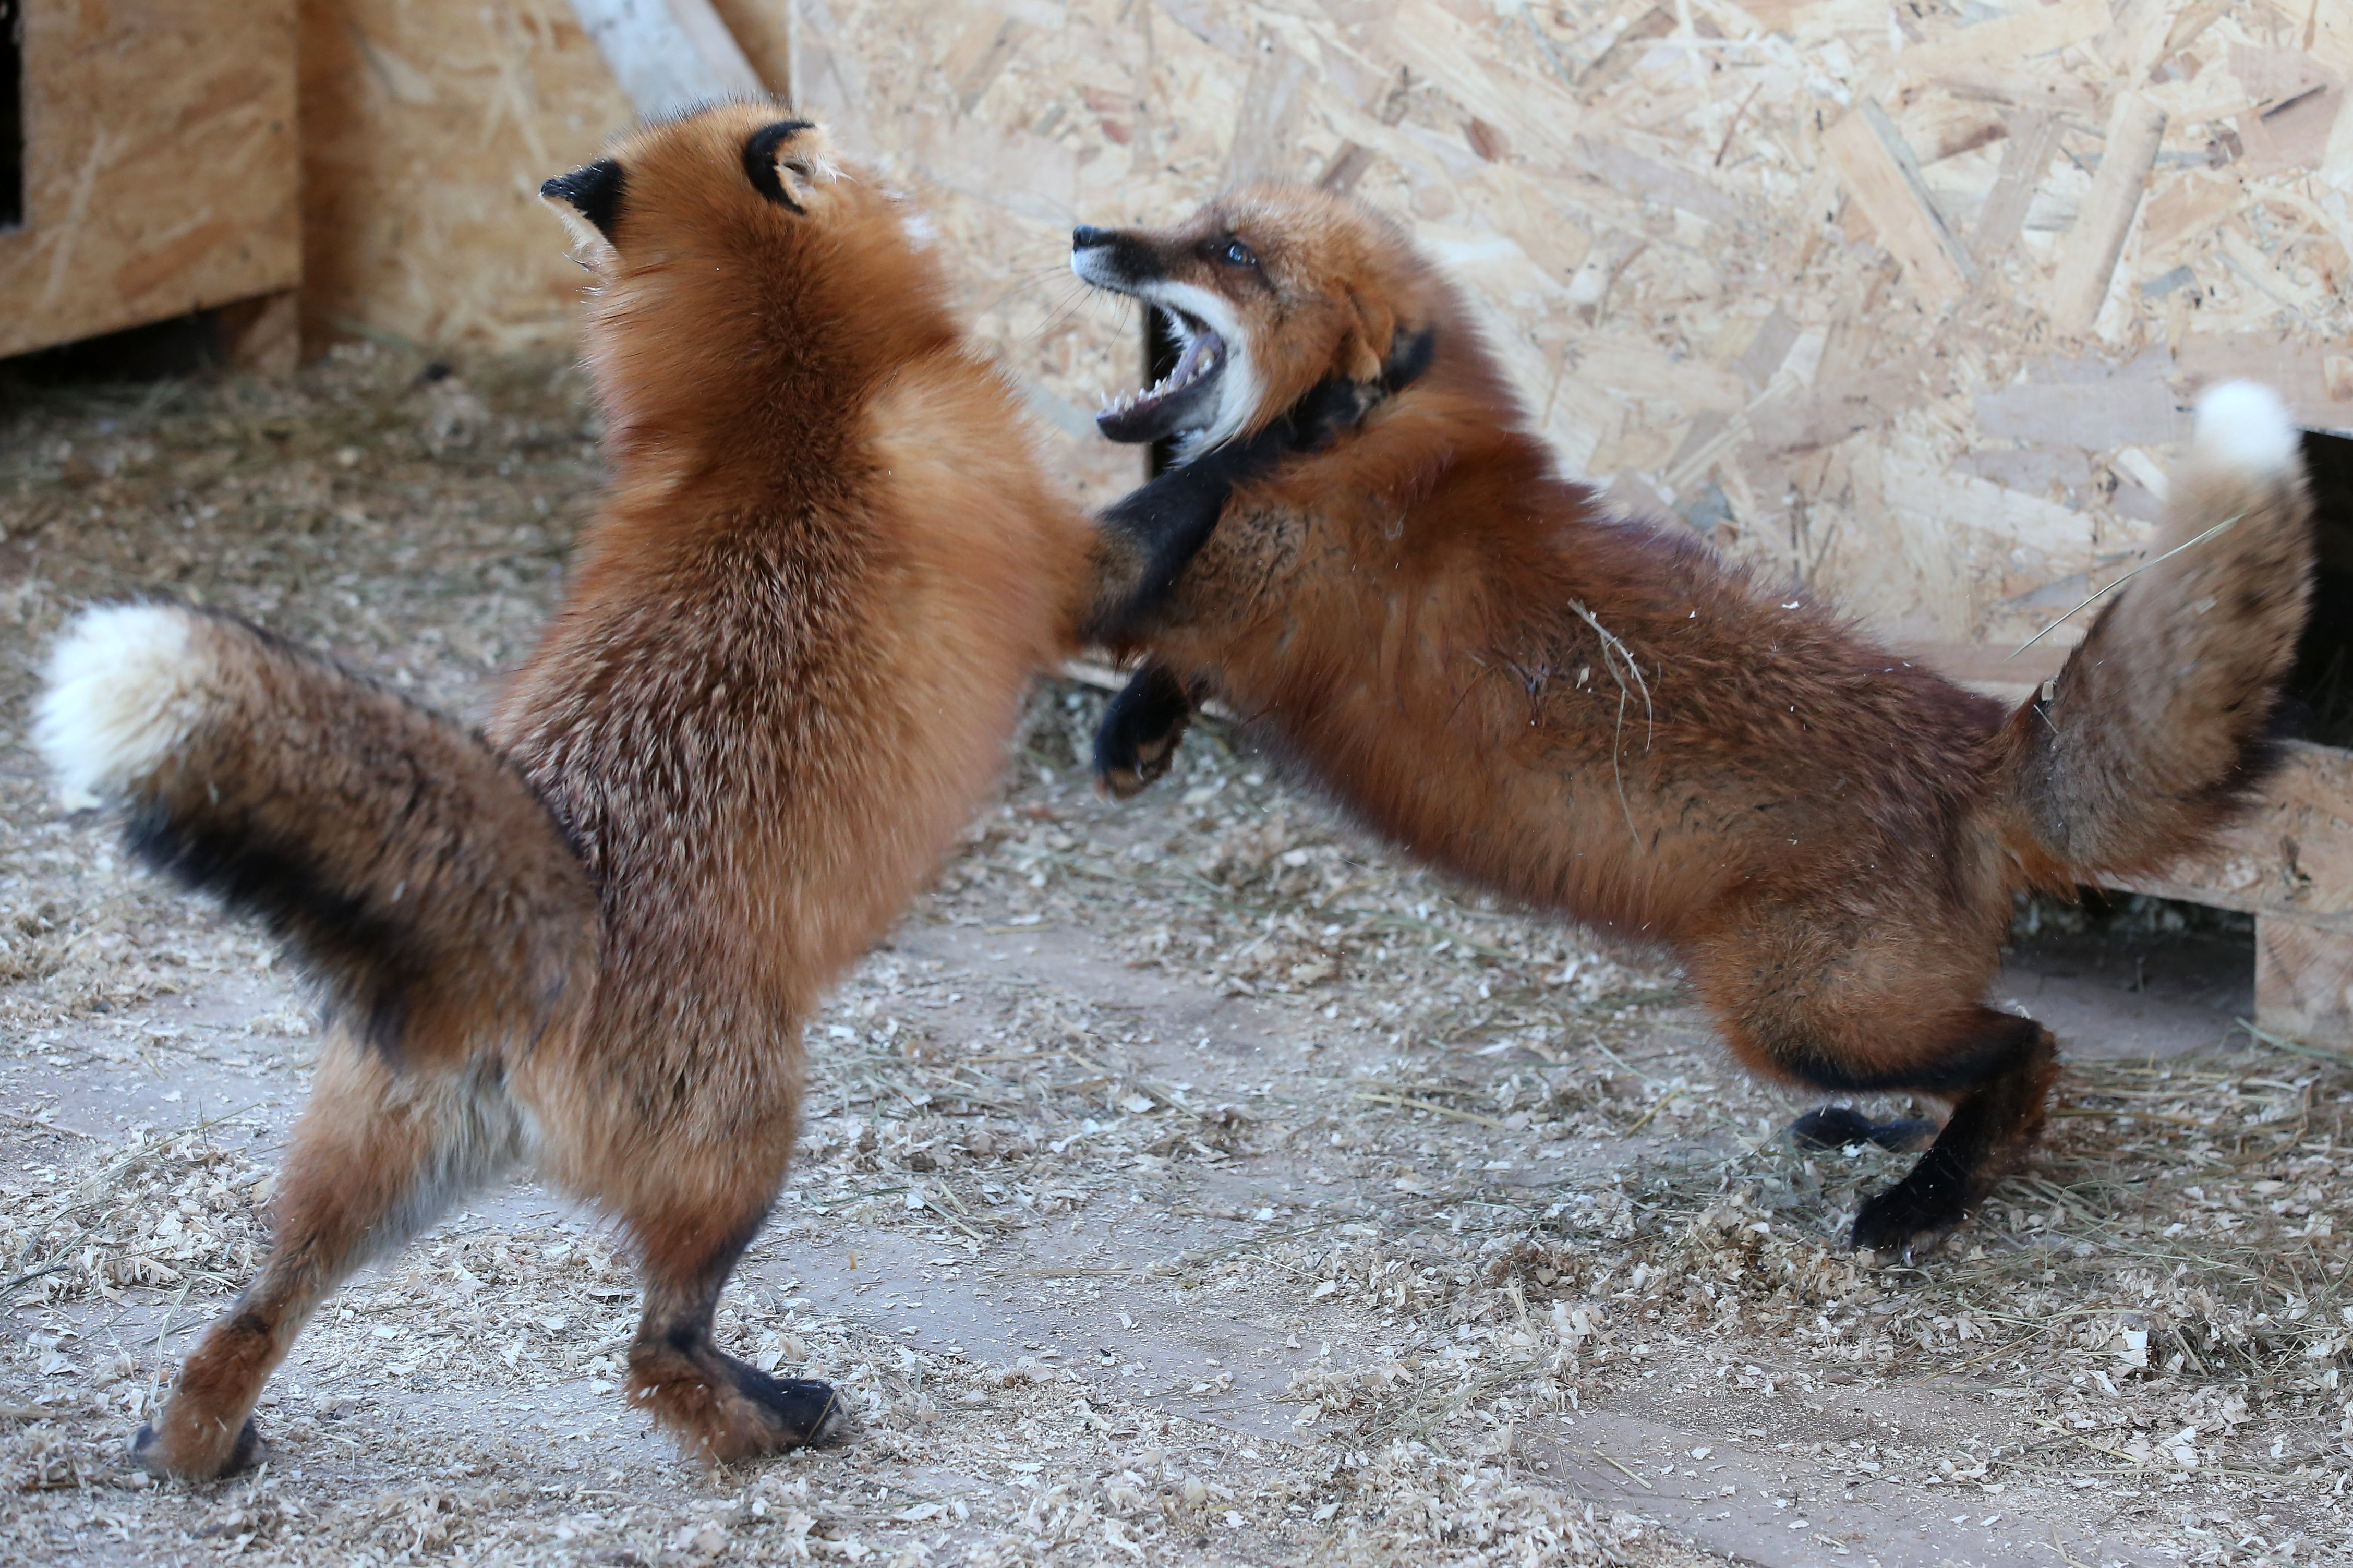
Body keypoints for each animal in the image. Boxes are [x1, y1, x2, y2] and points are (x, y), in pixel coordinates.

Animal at [32, 107, 1111, 1469]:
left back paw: (199, 1446)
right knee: (653, 1352)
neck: (785, 390)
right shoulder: (1060, 561)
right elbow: (1176, 515)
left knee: (254, 1311)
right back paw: (770, 1420)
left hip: (370, 1173)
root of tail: (525, 949)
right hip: (746, 1146)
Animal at [1078, 186, 2324, 1262]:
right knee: (1985, 1065)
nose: (1089, 230)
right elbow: (1177, 640)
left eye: (1233, 253)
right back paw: (1894, 1141)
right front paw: (1133, 730)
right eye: (1197, 220)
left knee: (2026, 1047)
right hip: (1839, 1013)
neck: (1391, 448)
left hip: (1789, 1015)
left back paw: (1922, 1201)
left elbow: (1141, 532)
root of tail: (1980, 746)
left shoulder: (1207, 568)